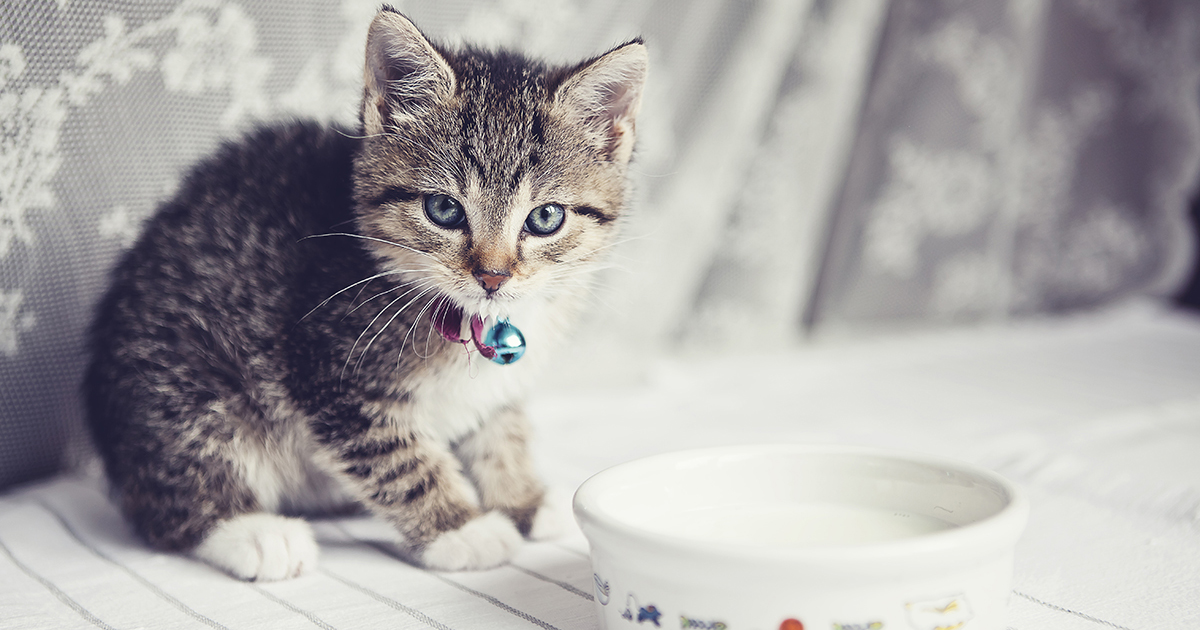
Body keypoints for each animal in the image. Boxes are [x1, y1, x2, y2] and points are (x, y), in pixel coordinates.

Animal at [84, 8, 648, 580]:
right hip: (186, 382)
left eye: (545, 218)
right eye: (444, 210)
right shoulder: (330, 370)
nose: (493, 277)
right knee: (172, 500)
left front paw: (522, 499)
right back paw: (254, 532)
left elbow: (499, 428)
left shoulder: (492, 386)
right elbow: (398, 460)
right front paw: (462, 528)